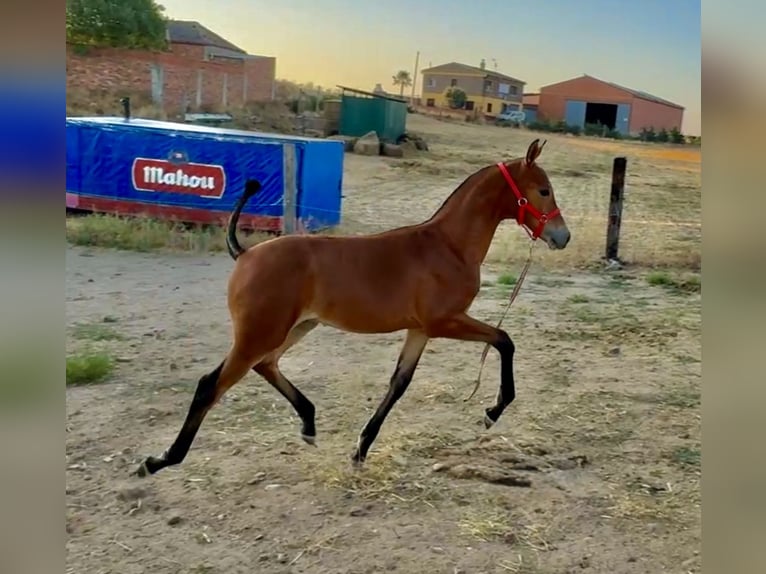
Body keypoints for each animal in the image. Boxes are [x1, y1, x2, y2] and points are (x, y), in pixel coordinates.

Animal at [134, 138, 570, 478]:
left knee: (266, 365)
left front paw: (360, 449)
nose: (562, 236)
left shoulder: (420, 330)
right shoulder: (445, 321)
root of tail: (245, 254)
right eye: (543, 190)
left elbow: (399, 384)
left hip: (295, 328)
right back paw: (160, 460)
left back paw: (309, 423)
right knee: (212, 384)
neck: (448, 246)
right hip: (259, 333)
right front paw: (493, 410)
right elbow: (504, 340)